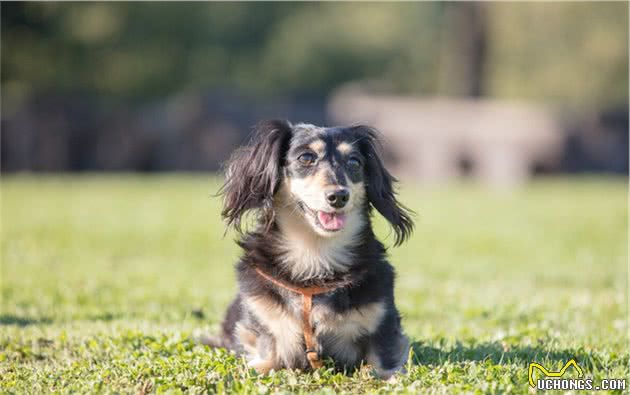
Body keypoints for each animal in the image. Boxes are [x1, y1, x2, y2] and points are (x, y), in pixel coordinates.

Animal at [211, 119, 414, 378]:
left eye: (355, 162)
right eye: (306, 157)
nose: (338, 196)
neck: (314, 256)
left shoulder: (384, 324)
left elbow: (382, 362)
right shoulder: (262, 323)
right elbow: (266, 354)